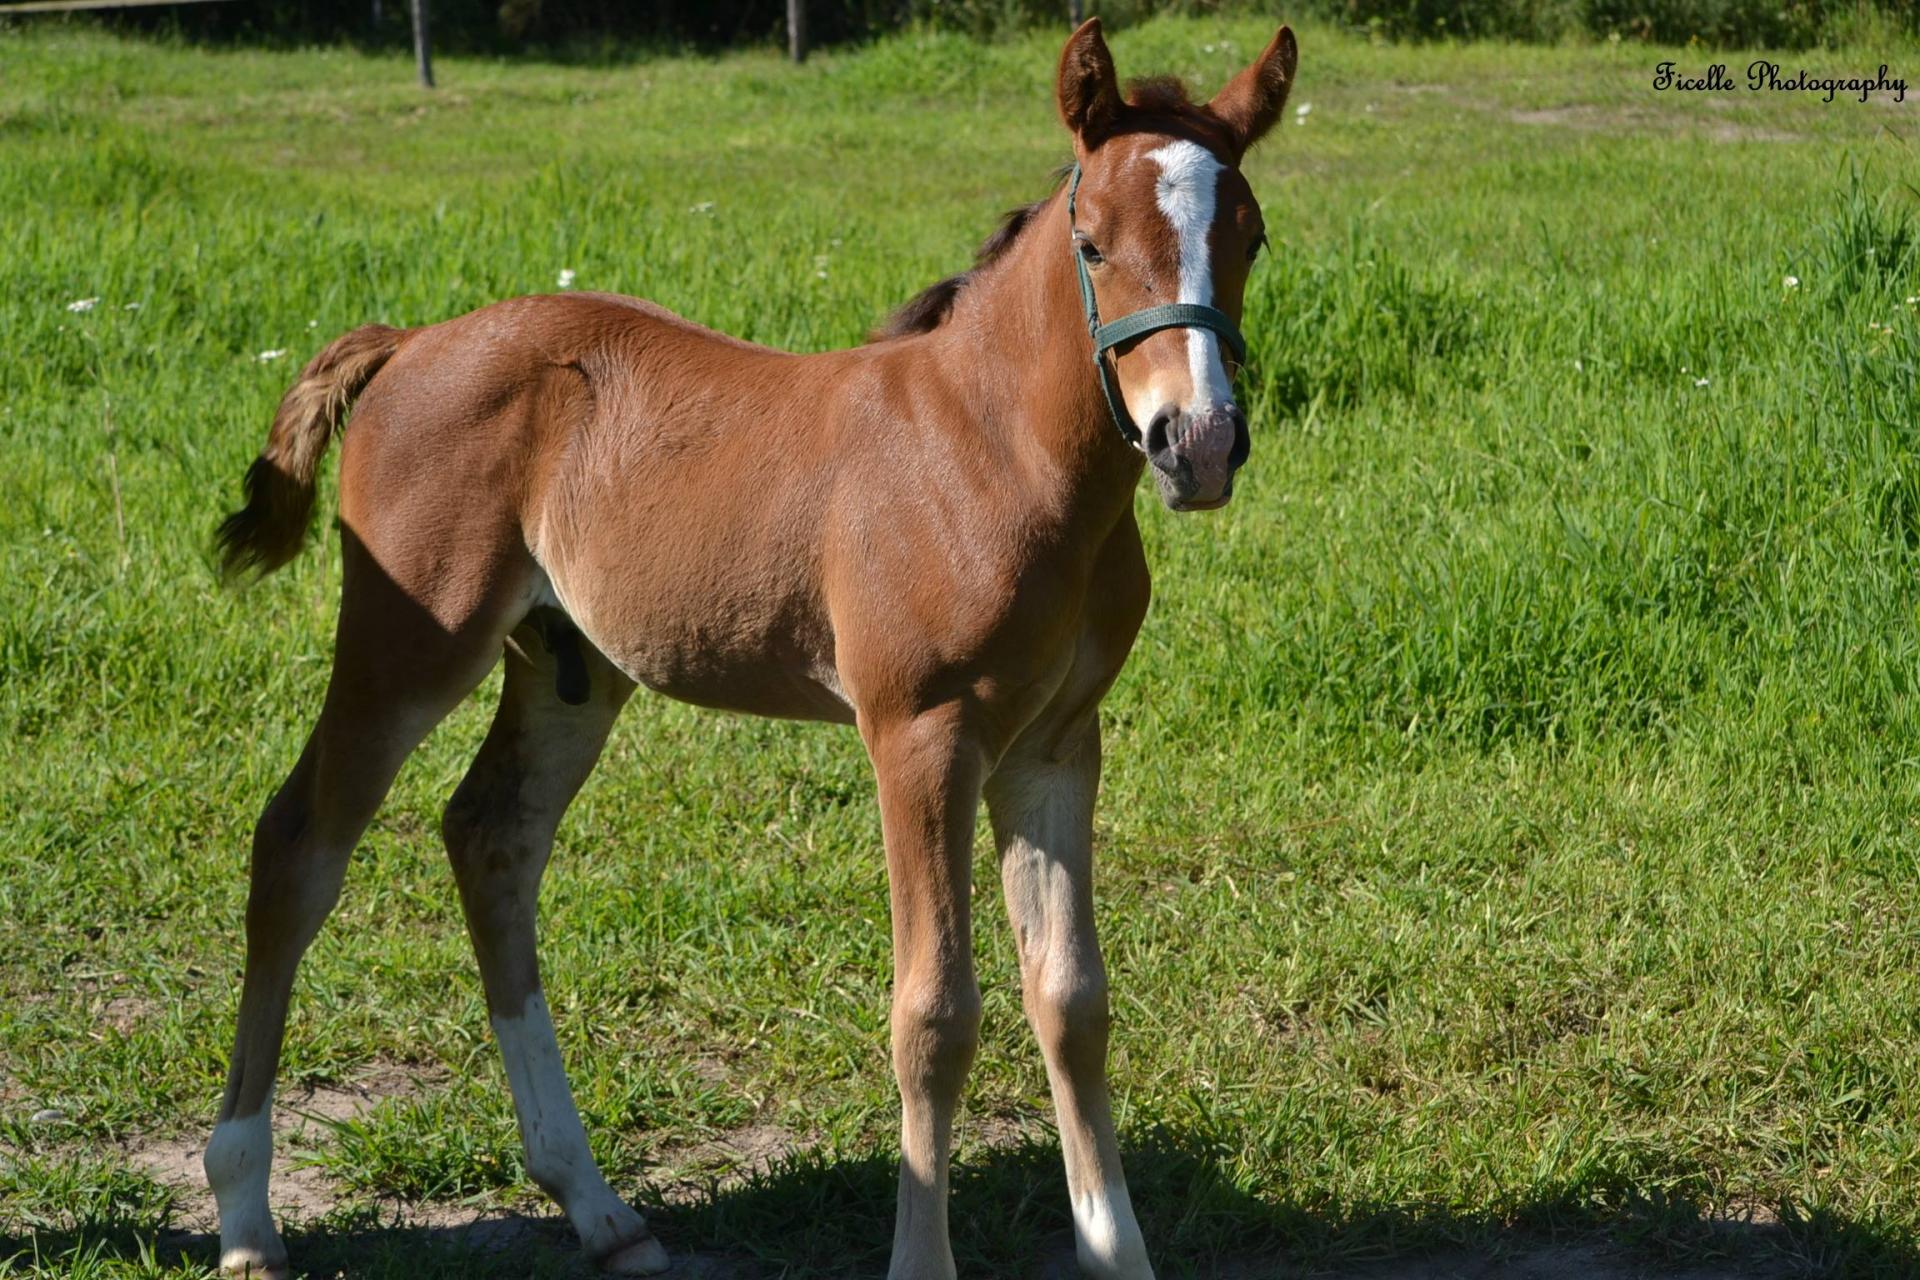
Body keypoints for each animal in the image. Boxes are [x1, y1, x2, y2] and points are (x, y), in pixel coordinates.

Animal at [210, 22, 1297, 1280]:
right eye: (1094, 243)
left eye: (1250, 235)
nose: (1196, 443)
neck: (999, 449)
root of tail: (408, 342)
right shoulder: (921, 733)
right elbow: (934, 1014)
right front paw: (920, 1259)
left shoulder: (1057, 741)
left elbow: (1072, 998)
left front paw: (1118, 1253)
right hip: (408, 642)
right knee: (299, 846)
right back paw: (245, 1213)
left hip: (567, 666)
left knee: (491, 839)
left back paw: (599, 1206)